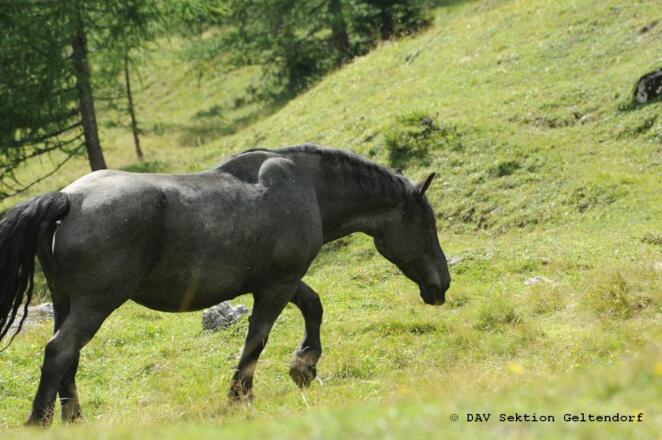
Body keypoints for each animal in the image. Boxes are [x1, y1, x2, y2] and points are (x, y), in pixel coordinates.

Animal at [0, 144, 451, 426]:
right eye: (427, 224)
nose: (442, 284)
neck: (307, 188)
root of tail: (67, 199)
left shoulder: (279, 280)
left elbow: (313, 305)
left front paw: (303, 365)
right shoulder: (276, 285)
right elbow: (257, 339)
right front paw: (241, 396)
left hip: (67, 303)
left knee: (68, 360)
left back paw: (74, 419)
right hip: (95, 305)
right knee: (59, 353)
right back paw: (39, 420)